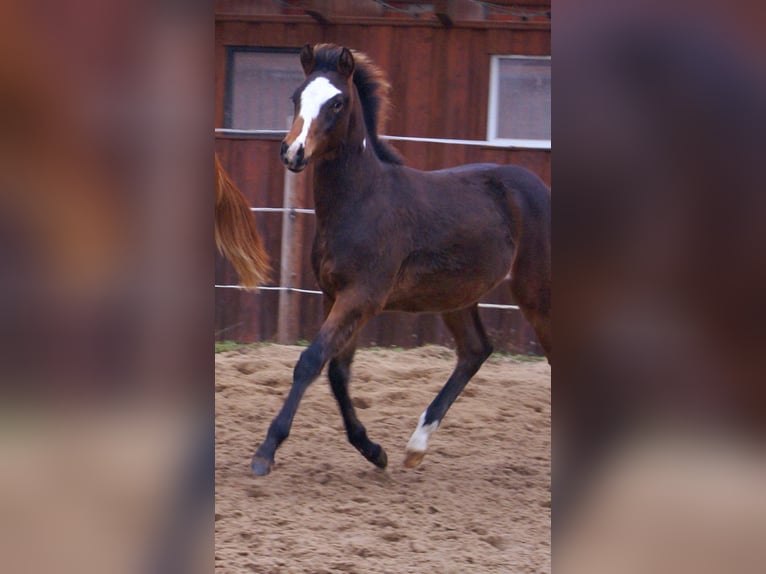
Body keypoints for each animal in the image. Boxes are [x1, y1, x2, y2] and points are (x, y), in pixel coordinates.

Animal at [251, 43, 551, 476]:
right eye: (296, 97)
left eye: (337, 102)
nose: (293, 152)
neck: (361, 201)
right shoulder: (335, 295)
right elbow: (338, 372)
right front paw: (373, 450)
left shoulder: (361, 296)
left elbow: (311, 361)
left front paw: (266, 451)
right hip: (456, 298)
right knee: (475, 350)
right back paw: (416, 445)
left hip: (536, 290)